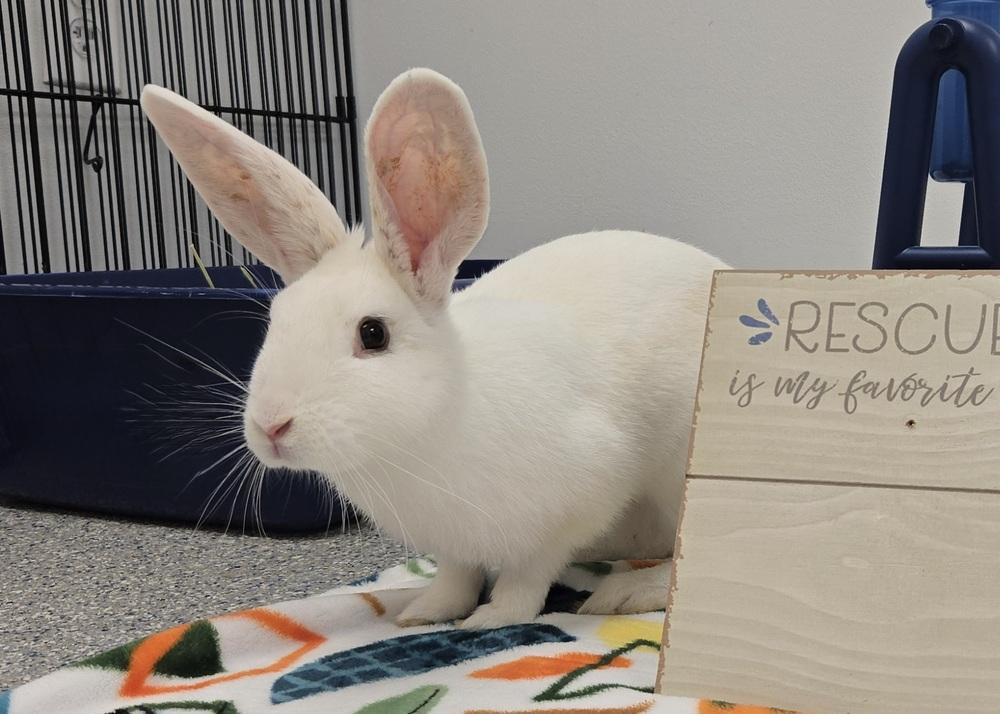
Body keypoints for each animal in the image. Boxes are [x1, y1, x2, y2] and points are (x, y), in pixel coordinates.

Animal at [140, 68, 728, 630]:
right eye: (274, 321)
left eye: (372, 333)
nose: (271, 427)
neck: (430, 431)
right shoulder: (452, 544)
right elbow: (456, 575)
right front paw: (426, 612)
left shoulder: (575, 501)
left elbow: (527, 576)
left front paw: (491, 619)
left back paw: (626, 592)